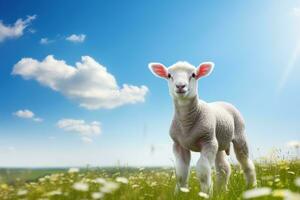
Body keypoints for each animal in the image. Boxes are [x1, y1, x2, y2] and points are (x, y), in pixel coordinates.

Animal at [149, 61, 256, 194]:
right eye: (169, 75)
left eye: (194, 75)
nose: (180, 86)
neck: (187, 124)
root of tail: (223, 102)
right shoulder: (179, 145)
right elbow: (181, 173)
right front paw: (180, 193)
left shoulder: (208, 142)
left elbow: (203, 170)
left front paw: (205, 193)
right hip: (219, 142)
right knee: (224, 168)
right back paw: (222, 191)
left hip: (239, 135)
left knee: (246, 163)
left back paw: (251, 186)